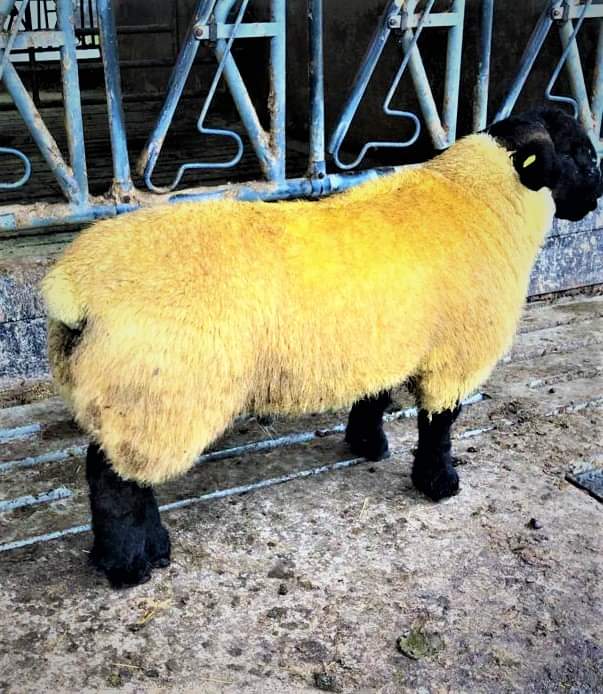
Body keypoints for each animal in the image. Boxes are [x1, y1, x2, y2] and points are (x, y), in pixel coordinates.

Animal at [42, 108, 602, 587]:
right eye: (585, 155)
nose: (596, 198)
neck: (480, 198)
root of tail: (75, 288)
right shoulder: (454, 357)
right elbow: (439, 428)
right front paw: (439, 484)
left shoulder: (382, 340)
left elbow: (373, 399)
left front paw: (367, 445)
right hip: (155, 396)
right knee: (116, 483)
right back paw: (130, 565)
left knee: (118, 474)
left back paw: (148, 549)